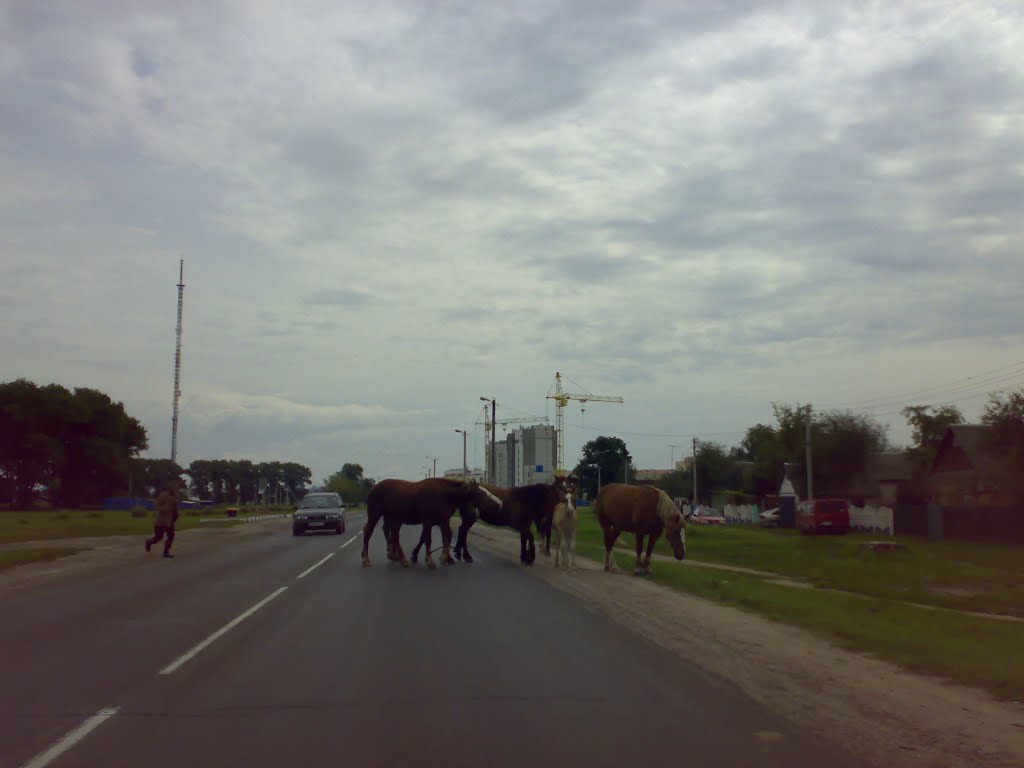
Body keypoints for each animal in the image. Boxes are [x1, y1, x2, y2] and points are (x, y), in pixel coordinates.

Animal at [362, 479, 501, 569]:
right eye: (479, 493)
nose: (499, 503)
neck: (443, 495)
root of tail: (373, 488)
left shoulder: (443, 522)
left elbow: (447, 538)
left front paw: (444, 557)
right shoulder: (428, 522)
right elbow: (428, 540)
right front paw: (430, 561)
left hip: (394, 519)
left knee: (393, 536)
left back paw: (400, 559)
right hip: (376, 515)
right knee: (369, 532)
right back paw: (366, 559)